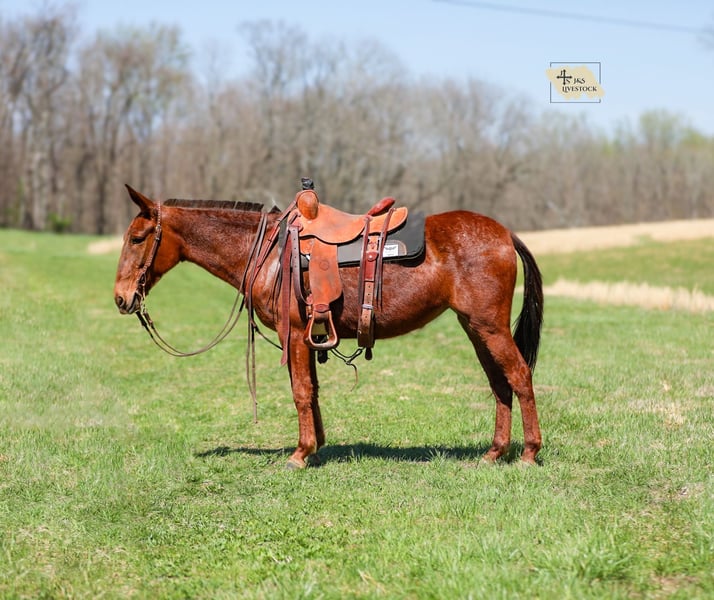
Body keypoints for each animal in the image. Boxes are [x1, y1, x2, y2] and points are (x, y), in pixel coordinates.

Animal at [114, 185, 544, 469]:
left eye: (137, 238)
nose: (121, 298)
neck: (271, 253)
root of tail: (504, 233)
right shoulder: (310, 336)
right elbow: (313, 391)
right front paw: (316, 444)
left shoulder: (294, 334)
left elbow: (301, 392)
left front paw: (300, 454)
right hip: (475, 327)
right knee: (499, 382)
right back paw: (494, 453)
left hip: (489, 326)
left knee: (520, 376)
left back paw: (528, 453)